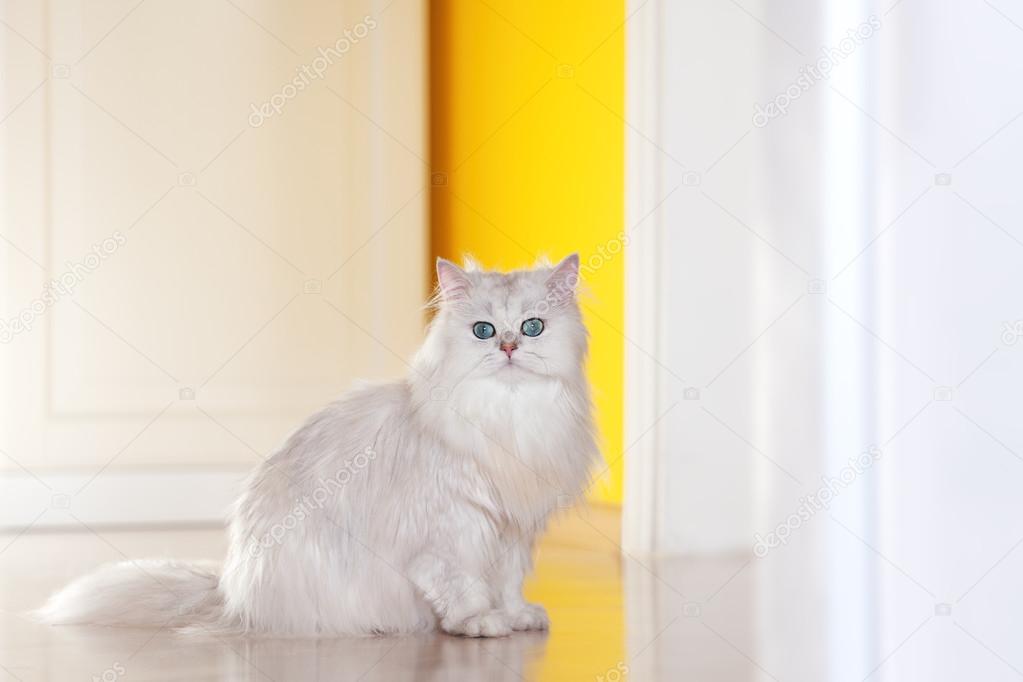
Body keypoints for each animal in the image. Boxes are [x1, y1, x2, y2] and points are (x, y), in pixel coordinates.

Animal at [39, 253, 597, 638]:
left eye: (532, 327)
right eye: (484, 331)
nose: (508, 346)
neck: (511, 417)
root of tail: (231, 595)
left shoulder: (511, 529)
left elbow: (508, 583)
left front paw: (517, 616)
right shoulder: (449, 533)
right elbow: (464, 588)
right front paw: (480, 623)